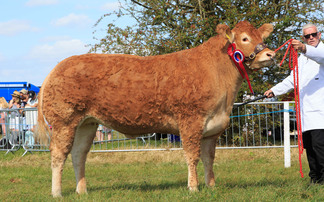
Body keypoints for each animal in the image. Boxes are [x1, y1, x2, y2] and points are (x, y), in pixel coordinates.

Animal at [38, 20, 276, 197]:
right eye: (244, 38)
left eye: (261, 38)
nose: (270, 54)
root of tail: (57, 68)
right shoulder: (190, 120)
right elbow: (192, 156)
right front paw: (193, 187)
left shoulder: (213, 128)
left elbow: (209, 158)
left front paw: (211, 186)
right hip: (64, 120)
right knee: (58, 154)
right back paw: (57, 193)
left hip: (87, 123)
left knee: (79, 154)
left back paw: (82, 191)